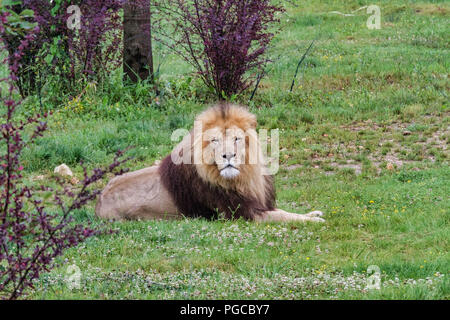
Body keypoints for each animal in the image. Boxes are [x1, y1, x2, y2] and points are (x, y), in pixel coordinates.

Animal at [96, 104, 326, 224]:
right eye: (214, 140)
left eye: (237, 139)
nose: (228, 155)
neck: (244, 178)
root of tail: (99, 200)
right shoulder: (242, 215)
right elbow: (284, 216)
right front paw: (314, 221)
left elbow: (283, 210)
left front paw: (312, 213)